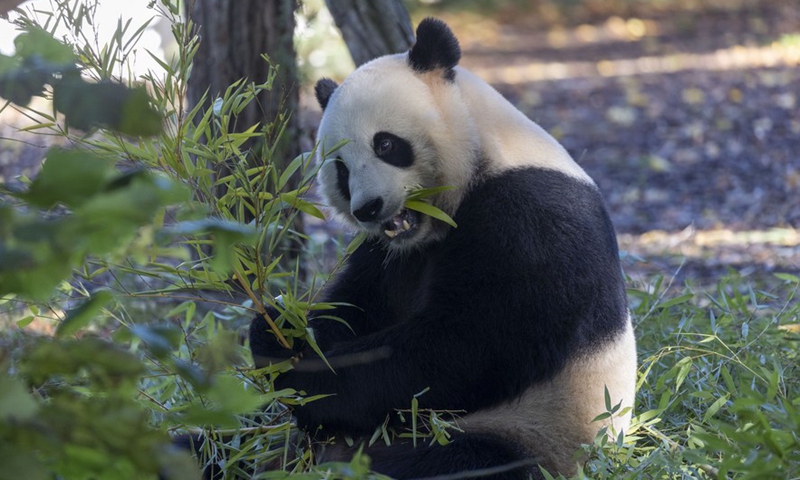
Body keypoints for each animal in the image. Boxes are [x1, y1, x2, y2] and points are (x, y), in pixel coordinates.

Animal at [249, 17, 637, 479]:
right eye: (340, 169)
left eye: (385, 144)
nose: (368, 208)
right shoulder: (391, 254)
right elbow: (357, 306)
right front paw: (276, 331)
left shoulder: (531, 219)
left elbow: (459, 348)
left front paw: (301, 377)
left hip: (533, 432)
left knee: (444, 463)